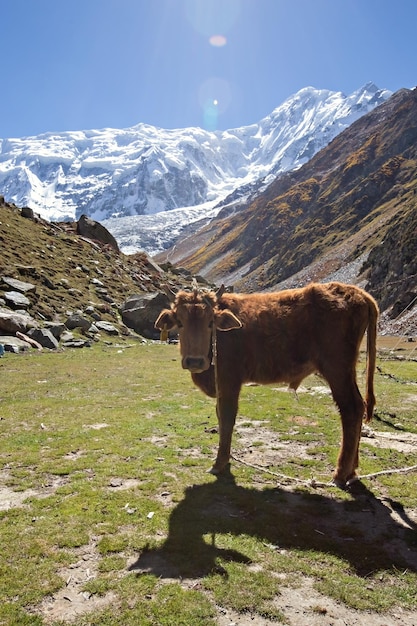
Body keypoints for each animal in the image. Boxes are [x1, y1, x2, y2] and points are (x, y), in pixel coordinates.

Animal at [154, 280, 378, 486]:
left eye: (210, 322)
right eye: (179, 322)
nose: (194, 361)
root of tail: (356, 292)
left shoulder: (229, 379)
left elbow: (226, 417)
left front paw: (219, 463)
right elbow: (219, 415)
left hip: (336, 368)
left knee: (351, 409)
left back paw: (340, 473)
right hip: (347, 370)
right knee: (359, 406)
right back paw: (352, 470)